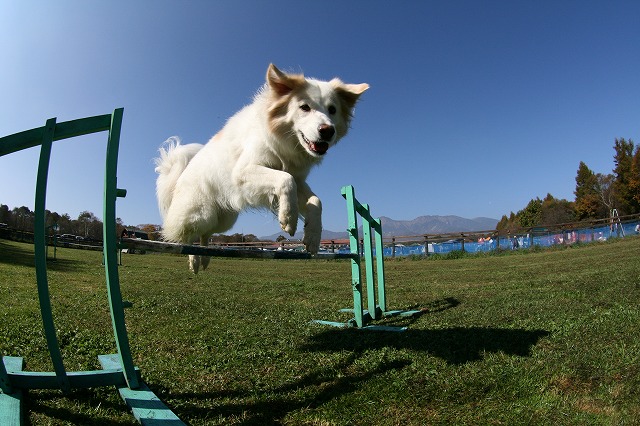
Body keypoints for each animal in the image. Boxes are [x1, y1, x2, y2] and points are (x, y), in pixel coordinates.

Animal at [153, 64, 370, 272]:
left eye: (332, 110)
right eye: (304, 107)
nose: (327, 131)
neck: (285, 142)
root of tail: (180, 174)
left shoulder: (299, 179)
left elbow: (316, 201)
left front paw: (312, 237)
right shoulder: (245, 172)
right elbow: (285, 180)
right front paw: (288, 218)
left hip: (225, 219)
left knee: (206, 234)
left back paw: (204, 258)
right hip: (201, 213)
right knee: (187, 236)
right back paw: (194, 260)